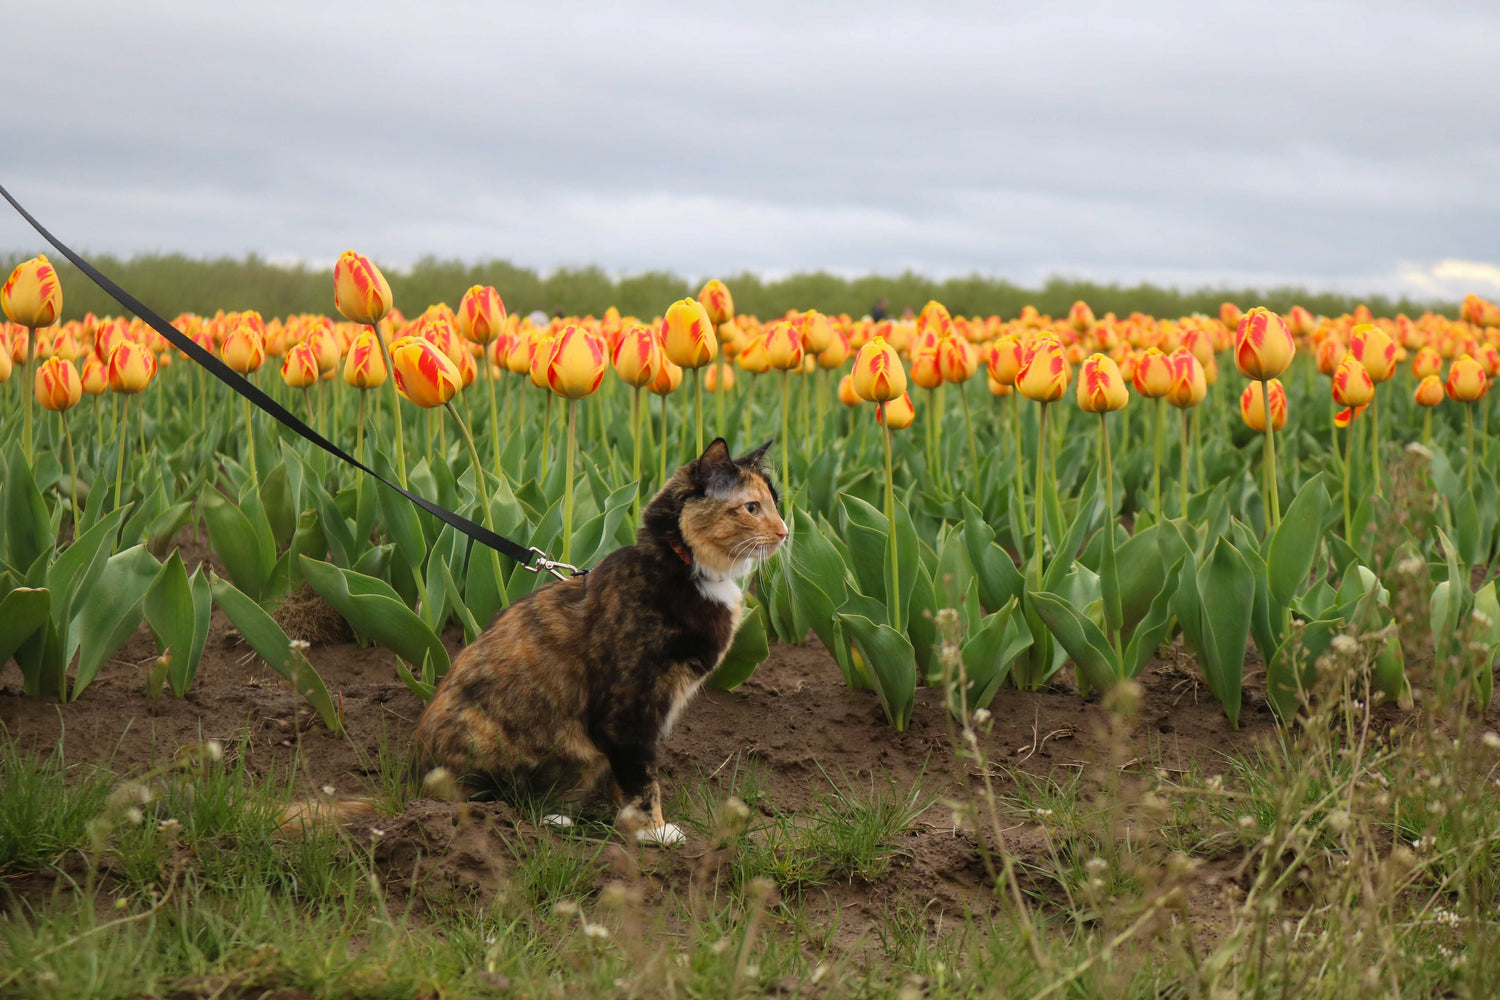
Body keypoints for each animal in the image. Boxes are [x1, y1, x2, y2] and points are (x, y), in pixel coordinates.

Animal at [411, 437, 786, 845]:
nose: (785, 532)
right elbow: (642, 778)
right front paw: (654, 831)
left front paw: (629, 821)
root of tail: (413, 778)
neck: (683, 567)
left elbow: (626, 780)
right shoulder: (628, 708)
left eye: (775, 502)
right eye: (751, 507)